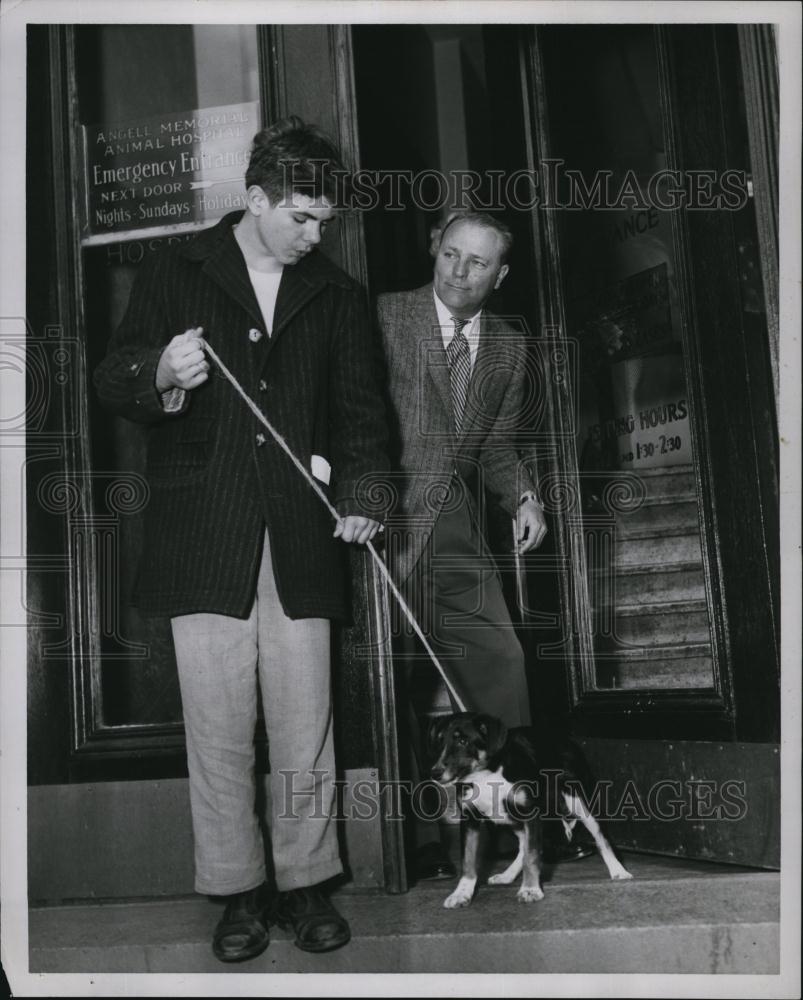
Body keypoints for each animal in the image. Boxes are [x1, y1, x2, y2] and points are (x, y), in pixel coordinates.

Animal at [430, 712, 632, 908]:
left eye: (463, 741)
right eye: (439, 741)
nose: (435, 773)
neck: (485, 776)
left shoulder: (531, 813)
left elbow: (532, 854)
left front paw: (530, 890)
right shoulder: (469, 819)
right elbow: (468, 860)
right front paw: (461, 893)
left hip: (578, 801)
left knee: (601, 838)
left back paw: (618, 871)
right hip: (508, 819)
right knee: (522, 847)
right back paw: (507, 875)